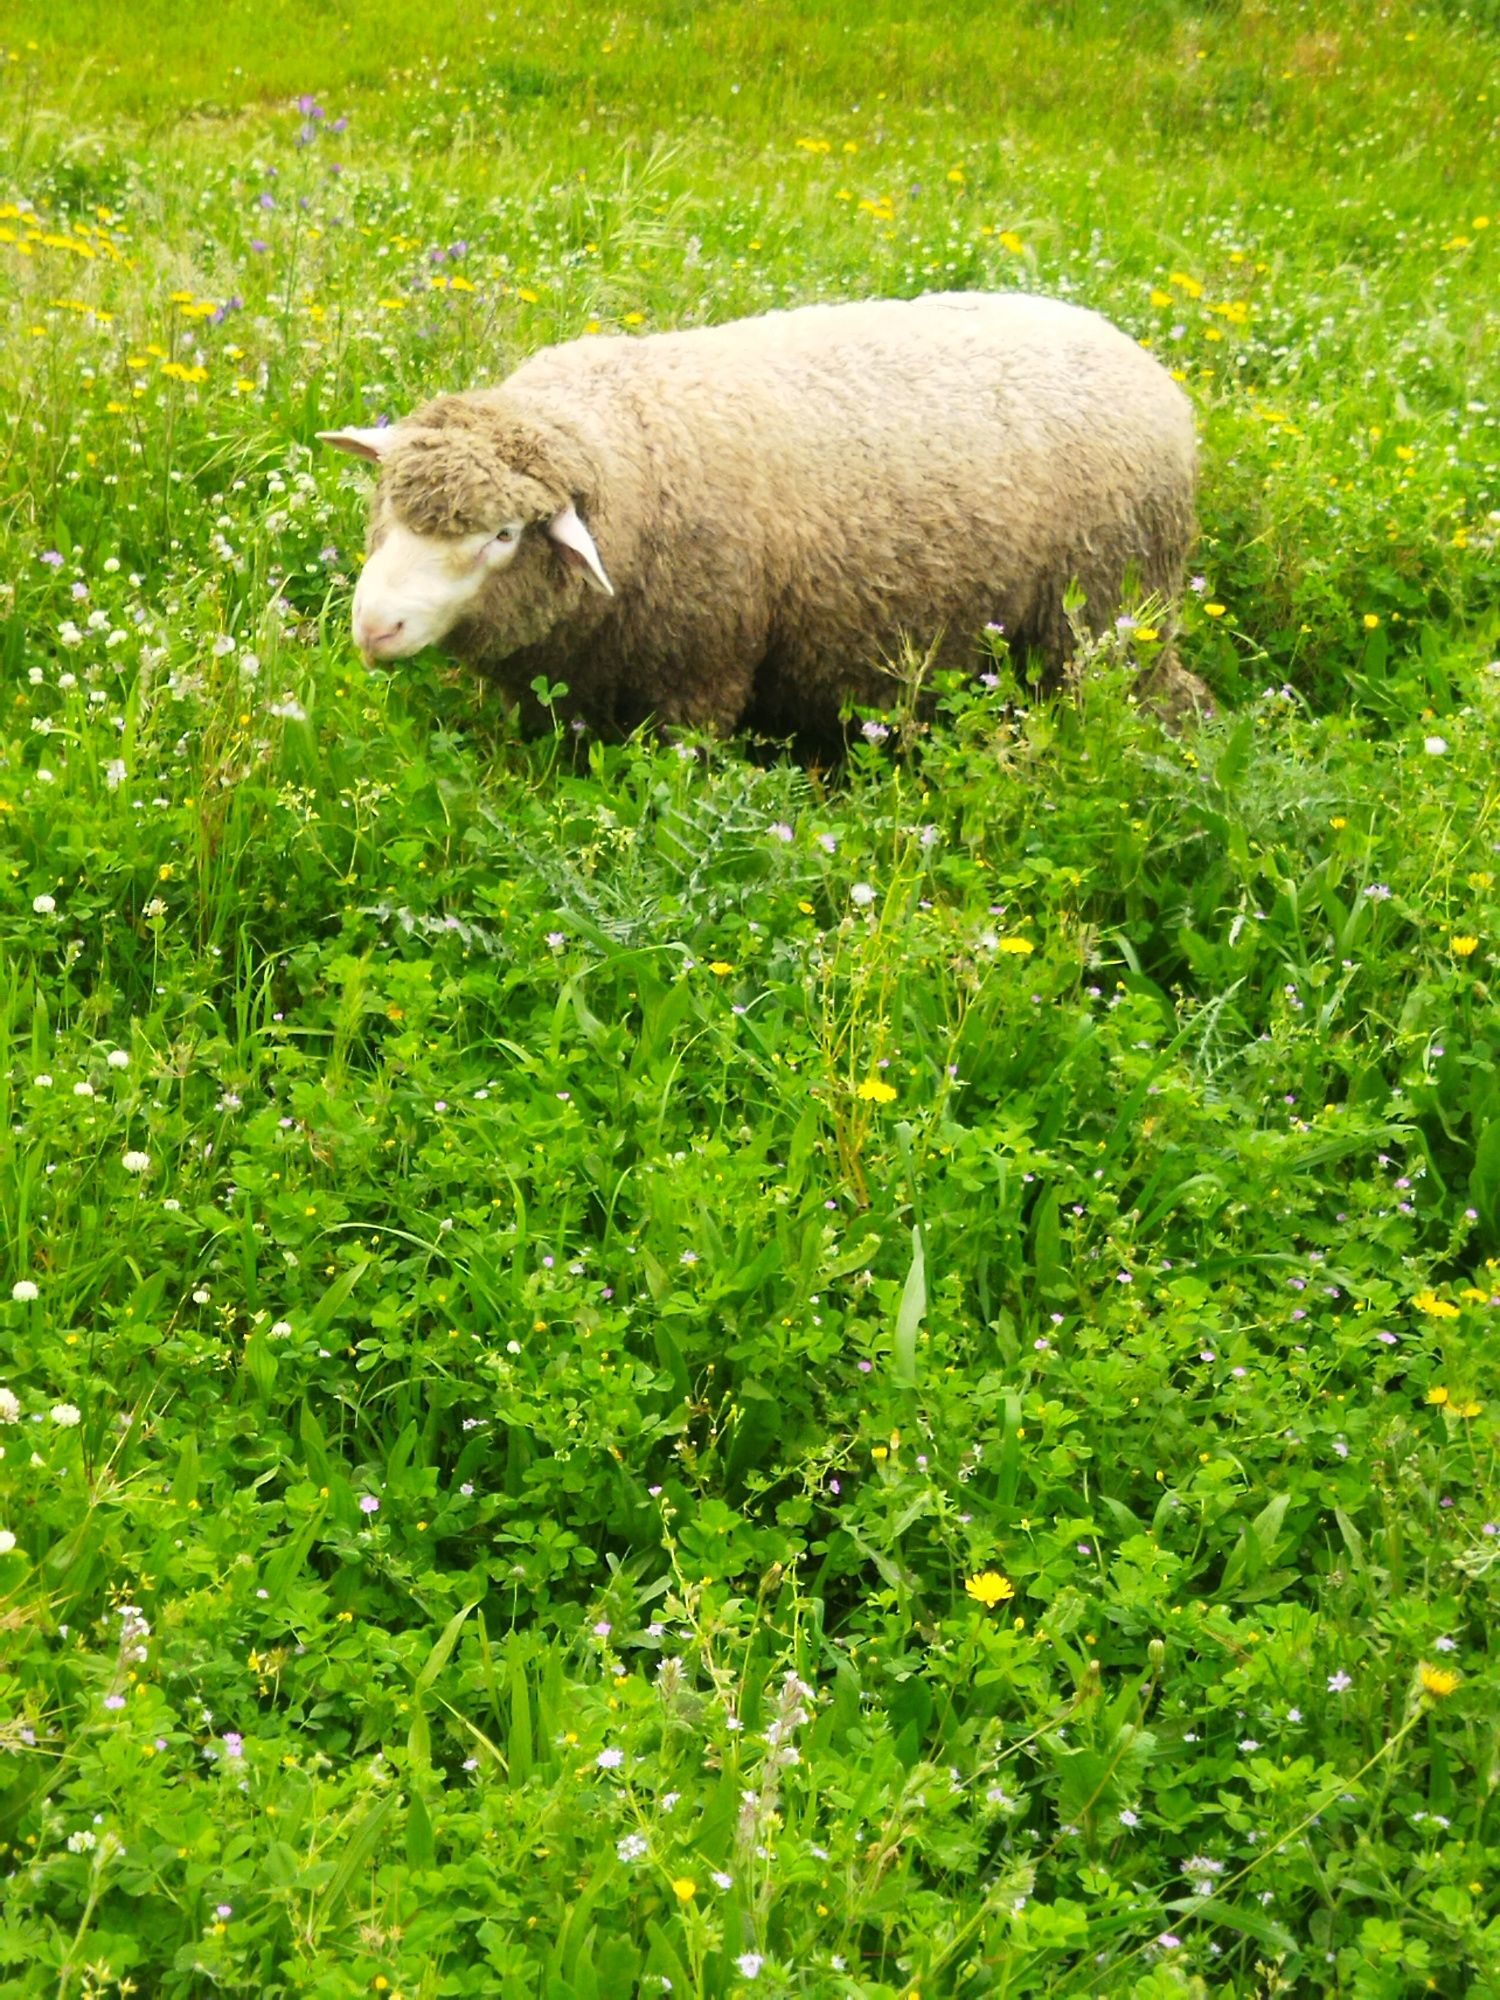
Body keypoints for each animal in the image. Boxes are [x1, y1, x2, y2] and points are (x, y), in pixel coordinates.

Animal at [320, 296, 1208, 756]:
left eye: (504, 537)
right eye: (386, 504)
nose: (373, 625)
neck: (628, 450)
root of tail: (1140, 359)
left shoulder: (698, 675)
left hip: (1106, 616)